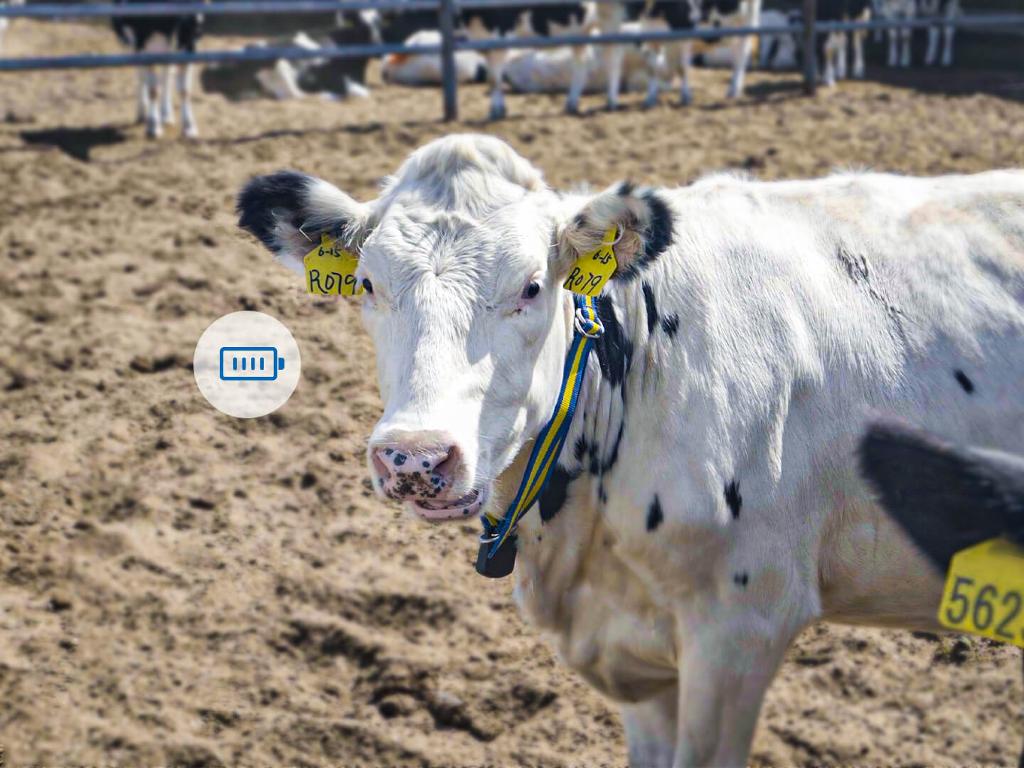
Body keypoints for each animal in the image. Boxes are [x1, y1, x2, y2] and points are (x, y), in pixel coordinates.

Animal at [112, 0, 203, 139]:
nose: (195, 20)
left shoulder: (188, 44)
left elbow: (185, 91)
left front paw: (189, 126)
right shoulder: (143, 45)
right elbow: (153, 90)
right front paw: (153, 125)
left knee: (166, 75)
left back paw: (166, 114)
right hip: (134, 44)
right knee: (141, 76)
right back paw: (142, 112)